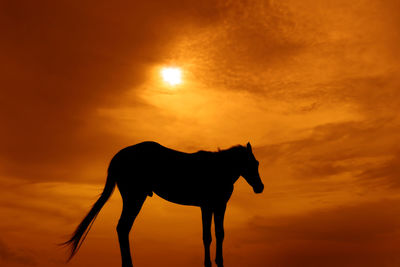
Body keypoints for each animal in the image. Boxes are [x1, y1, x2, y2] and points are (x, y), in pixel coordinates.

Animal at [63, 141, 262, 266]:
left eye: (257, 163)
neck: (220, 169)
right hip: (134, 197)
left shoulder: (218, 206)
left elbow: (219, 234)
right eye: (252, 164)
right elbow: (208, 236)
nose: (260, 187)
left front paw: (218, 262)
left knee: (123, 228)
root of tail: (118, 157)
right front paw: (208, 263)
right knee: (123, 227)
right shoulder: (207, 206)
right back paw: (128, 264)